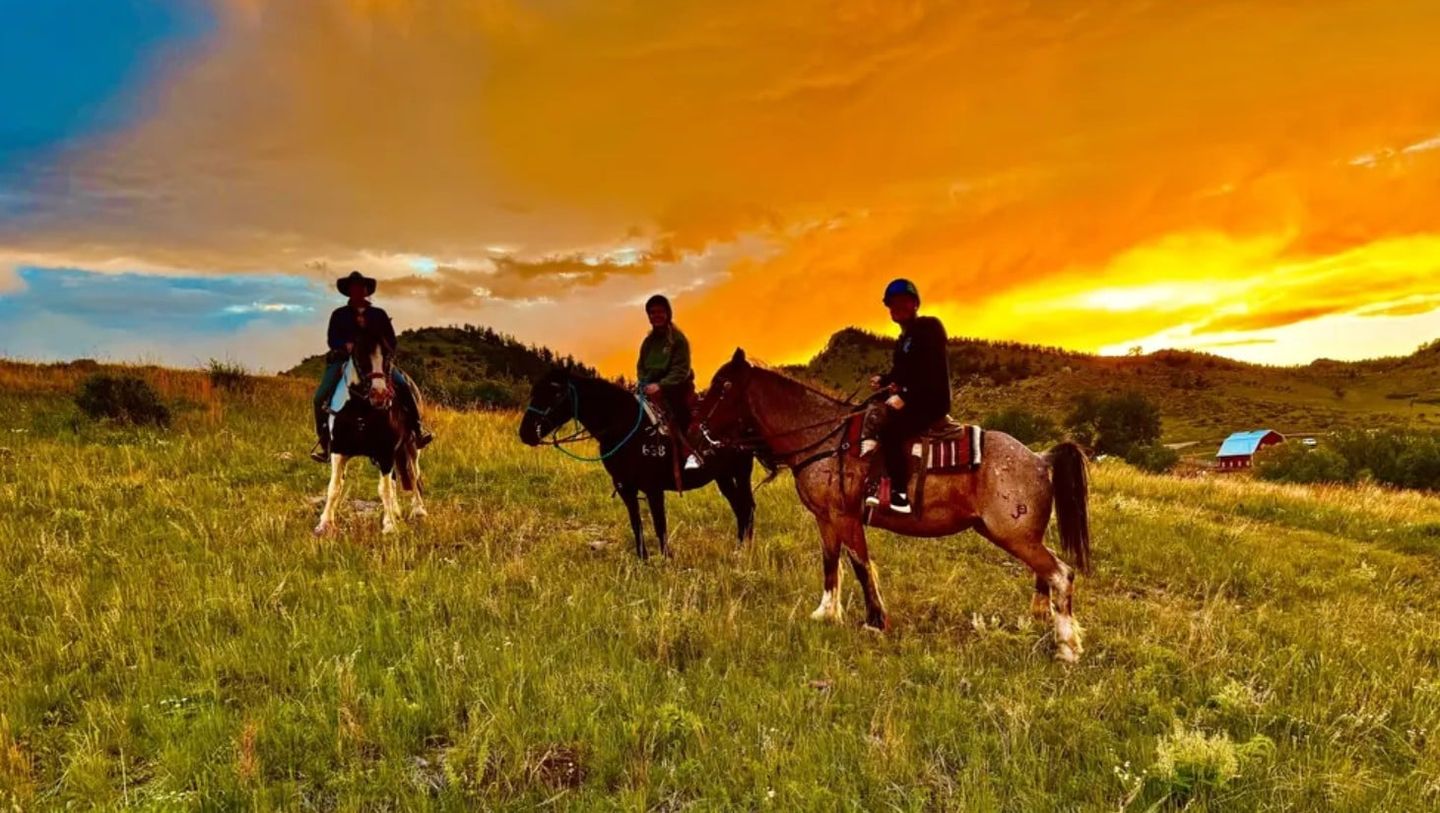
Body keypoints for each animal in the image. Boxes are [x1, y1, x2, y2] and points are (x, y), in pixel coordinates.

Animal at [313, 324, 428, 535]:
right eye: (360, 354)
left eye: (388, 355)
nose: (380, 394)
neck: (360, 410)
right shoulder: (339, 450)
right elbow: (334, 487)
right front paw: (324, 524)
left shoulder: (385, 452)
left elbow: (385, 489)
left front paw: (389, 525)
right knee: (395, 479)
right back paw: (397, 511)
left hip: (411, 446)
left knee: (414, 475)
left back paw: (418, 511)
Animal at [519, 368, 759, 559]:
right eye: (534, 392)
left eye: (556, 393)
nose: (525, 433)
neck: (625, 426)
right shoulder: (625, 487)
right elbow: (636, 523)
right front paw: (643, 560)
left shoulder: (653, 488)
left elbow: (659, 524)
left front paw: (666, 560)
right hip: (723, 475)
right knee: (740, 507)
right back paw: (739, 548)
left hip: (741, 471)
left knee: (746, 507)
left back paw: (743, 550)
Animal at [692, 350, 1092, 662]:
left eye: (723, 386)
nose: (698, 431)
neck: (825, 439)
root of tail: (1039, 458)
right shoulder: (825, 519)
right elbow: (831, 563)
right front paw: (826, 613)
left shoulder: (846, 517)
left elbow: (860, 565)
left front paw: (874, 622)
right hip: (1017, 536)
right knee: (1047, 576)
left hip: (1015, 535)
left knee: (1061, 573)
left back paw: (1067, 648)